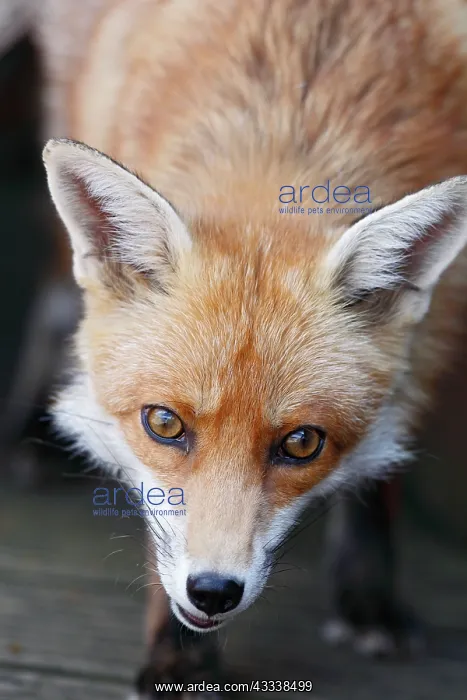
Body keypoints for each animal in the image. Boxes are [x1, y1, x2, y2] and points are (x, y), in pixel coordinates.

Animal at [5, 0, 467, 696]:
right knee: (57, 289)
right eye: (164, 424)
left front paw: (368, 594)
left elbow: (387, 457)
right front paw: (180, 656)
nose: (214, 592)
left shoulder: (442, 315)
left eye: (302, 443)